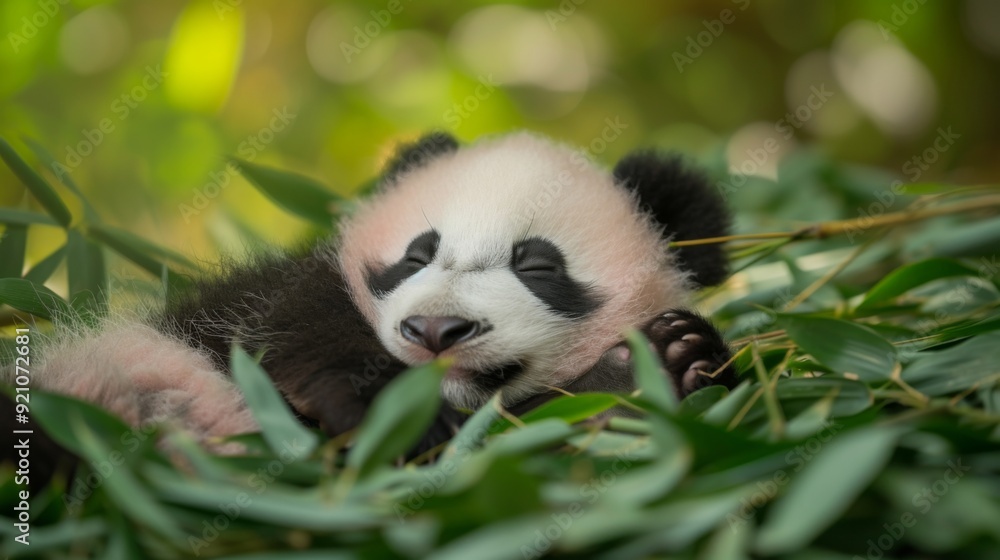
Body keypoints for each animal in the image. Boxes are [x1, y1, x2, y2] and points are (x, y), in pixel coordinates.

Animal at [4, 130, 736, 473]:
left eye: (535, 264)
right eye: (417, 253)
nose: (436, 329)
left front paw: (663, 361)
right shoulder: (262, 299)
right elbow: (296, 326)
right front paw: (387, 411)